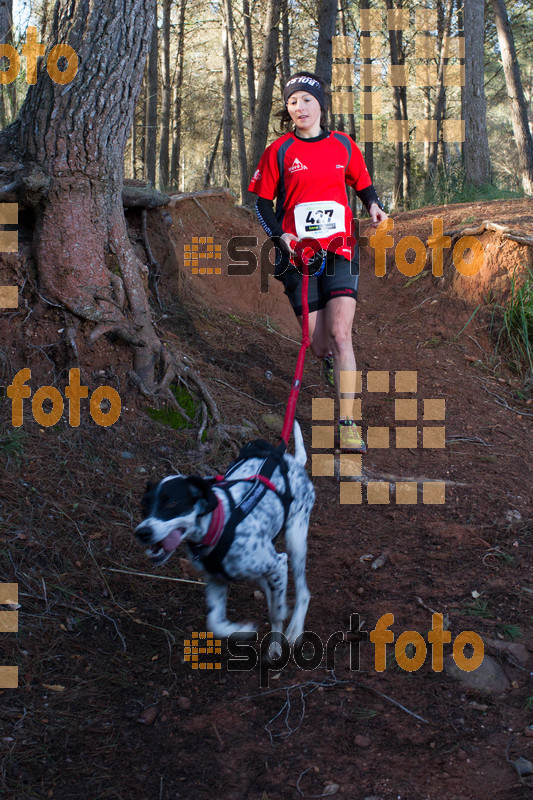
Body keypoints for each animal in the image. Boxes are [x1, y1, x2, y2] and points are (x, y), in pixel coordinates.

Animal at [135, 422, 314, 648]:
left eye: (172, 502)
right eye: (145, 503)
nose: (142, 532)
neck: (219, 524)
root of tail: (294, 462)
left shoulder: (278, 563)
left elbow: (277, 610)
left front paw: (280, 614)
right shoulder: (216, 581)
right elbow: (215, 623)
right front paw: (242, 630)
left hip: (295, 540)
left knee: (303, 593)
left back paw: (295, 629)